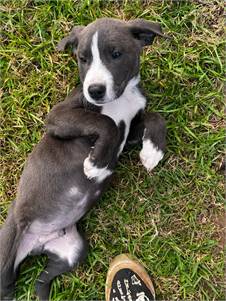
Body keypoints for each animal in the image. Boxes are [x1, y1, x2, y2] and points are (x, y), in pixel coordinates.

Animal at [0, 17, 166, 298]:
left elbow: (155, 117)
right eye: (83, 58)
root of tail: (37, 242)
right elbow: (105, 123)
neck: (122, 97)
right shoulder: (58, 116)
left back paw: (43, 293)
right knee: (6, 284)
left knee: (40, 281)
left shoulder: (130, 129)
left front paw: (152, 151)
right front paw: (97, 165)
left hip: (72, 252)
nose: (95, 90)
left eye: (116, 54)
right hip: (8, 246)